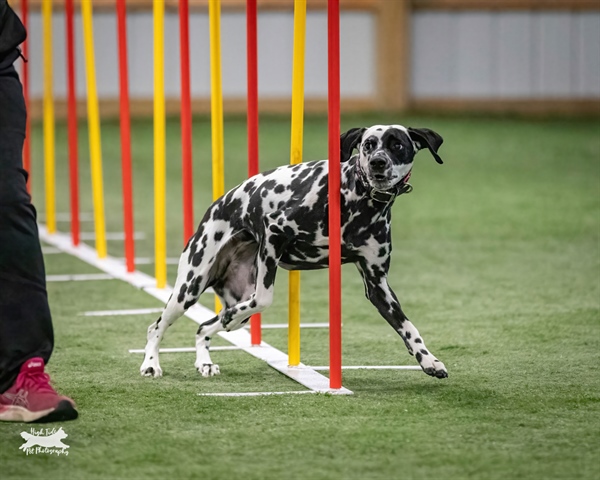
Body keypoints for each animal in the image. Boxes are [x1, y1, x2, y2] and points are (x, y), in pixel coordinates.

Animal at [141, 125, 448, 380]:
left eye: (397, 145)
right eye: (368, 144)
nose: (377, 162)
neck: (358, 202)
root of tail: (215, 207)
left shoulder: (378, 285)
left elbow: (408, 327)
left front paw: (428, 360)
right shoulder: (274, 233)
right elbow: (264, 299)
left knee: (204, 327)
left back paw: (204, 362)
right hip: (189, 288)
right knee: (158, 327)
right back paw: (151, 364)